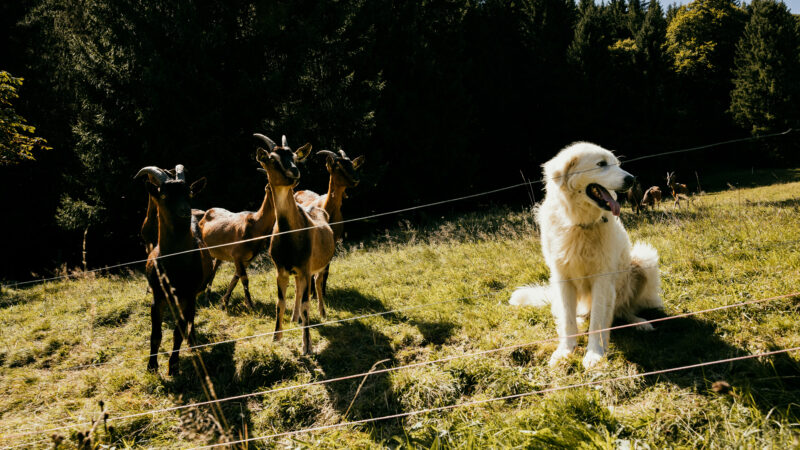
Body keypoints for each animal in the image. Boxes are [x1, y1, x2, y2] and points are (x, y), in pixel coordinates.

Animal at [135, 165, 213, 375]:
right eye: (164, 195)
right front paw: (152, 366)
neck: (175, 264)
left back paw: (192, 342)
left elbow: (178, 332)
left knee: (190, 318)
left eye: (189, 193)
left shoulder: (187, 295)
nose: (185, 211)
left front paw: (174, 366)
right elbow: (156, 334)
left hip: (192, 295)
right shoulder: (158, 296)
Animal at [198, 170, 275, 310]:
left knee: (214, 269)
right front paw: (250, 305)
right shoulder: (237, 254)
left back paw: (207, 297)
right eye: (270, 187)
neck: (255, 227)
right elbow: (244, 278)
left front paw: (224, 302)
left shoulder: (247, 258)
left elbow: (236, 278)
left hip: (219, 253)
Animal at [255, 133, 335, 354]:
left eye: (295, 157)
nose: (295, 171)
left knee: (318, 284)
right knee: (299, 289)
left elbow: (307, 303)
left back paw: (322, 313)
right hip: (298, 272)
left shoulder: (306, 267)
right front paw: (276, 337)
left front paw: (307, 346)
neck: (290, 236)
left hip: (321, 265)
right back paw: (294, 317)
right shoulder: (281, 270)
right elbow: (280, 302)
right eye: (272, 160)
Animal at [295, 149, 364, 300]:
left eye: (352, 164)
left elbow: (326, 269)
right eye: (338, 167)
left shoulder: (333, 241)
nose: (356, 179)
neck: (328, 211)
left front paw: (323, 292)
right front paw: (313, 294)